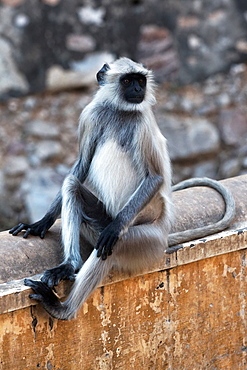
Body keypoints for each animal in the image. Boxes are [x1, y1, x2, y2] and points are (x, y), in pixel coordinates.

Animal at [8, 56, 234, 320]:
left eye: (140, 80)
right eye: (127, 81)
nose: (137, 89)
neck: (120, 111)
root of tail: (163, 232)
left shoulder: (142, 121)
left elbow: (155, 177)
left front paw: (115, 228)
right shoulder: (91, 115)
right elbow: (80, 167)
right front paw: (41, 223)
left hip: (147, 239)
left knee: (115, 243)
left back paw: (63, 308)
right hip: (98, 224)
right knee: (72, 186)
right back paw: (69, 266)